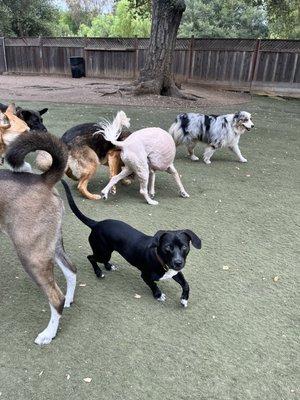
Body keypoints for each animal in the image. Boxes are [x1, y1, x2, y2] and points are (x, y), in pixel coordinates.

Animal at [0, 130, 77, 344]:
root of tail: (43, 179)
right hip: (51, 245)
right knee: (71, 270)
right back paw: (69, 299)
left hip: (31, 254)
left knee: (55, 298)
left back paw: (48, 334)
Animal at [61, 179, 202, 306]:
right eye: (167, 247)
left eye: (184, 247)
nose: (178, 263)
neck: (162, 261)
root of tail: (96, 224)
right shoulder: (145, 276)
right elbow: (153, 284)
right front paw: (158, 295)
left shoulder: (175, 272)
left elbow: (186, 284)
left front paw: (184, 299)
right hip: (103, 252)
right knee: (90, 257)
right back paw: (99, 272)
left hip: (106, 252)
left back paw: (108, 266)